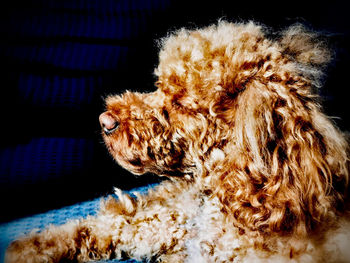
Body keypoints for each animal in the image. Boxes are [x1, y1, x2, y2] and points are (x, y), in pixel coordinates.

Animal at [5, 21, 350, 263]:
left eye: (181, 105)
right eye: (160, 86)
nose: (105, 122)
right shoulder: (175, 219)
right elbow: (118, 223)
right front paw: (32, 247)